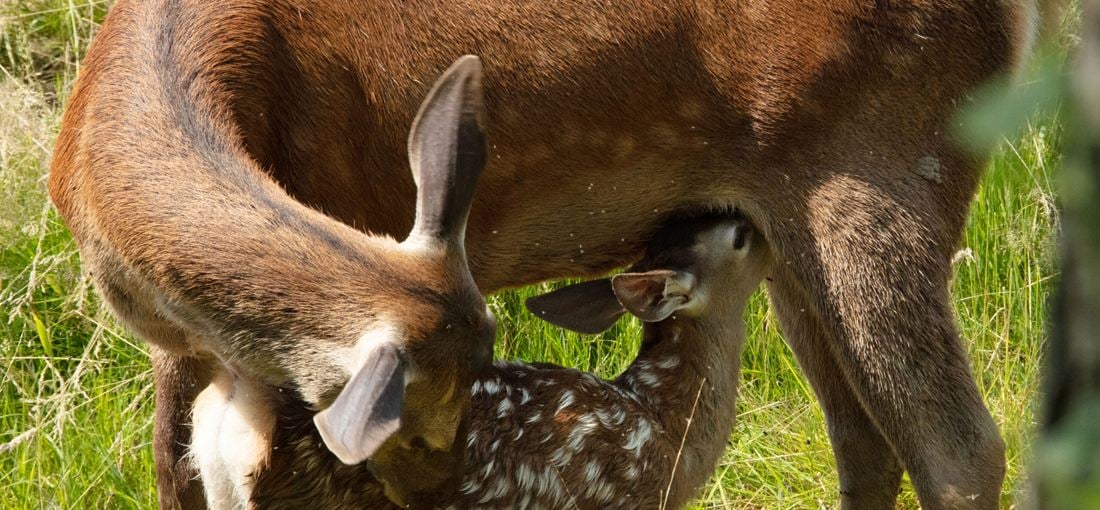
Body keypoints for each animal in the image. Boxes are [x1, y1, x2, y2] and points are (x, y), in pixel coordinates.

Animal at [49, 0, 1029, 507]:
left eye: (432, 414)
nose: (441, 493)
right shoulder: (183, 343)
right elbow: (173, 472)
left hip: (881, 164)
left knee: (960, 449)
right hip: (797, 224)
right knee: (863, 434)